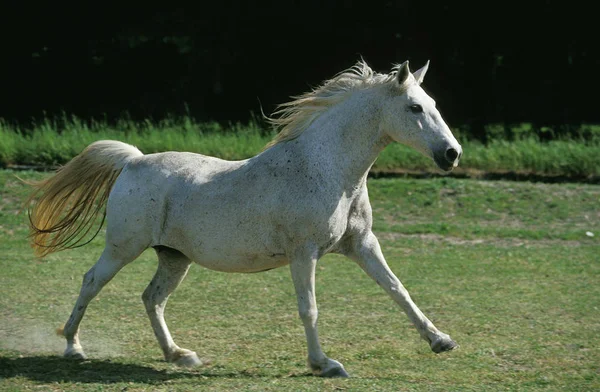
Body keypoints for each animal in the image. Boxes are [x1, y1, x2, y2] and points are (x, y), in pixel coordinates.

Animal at [25, 60, 462, 376]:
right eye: (414, 107)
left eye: (435, 105)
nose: (451, 154)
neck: (328, 170)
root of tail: (133, 161)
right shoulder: (304, 253)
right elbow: (309, 307)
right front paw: (324, 365)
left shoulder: (362, 244)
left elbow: (398, 290)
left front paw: (440, 341)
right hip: (123, 248)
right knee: (91, 282)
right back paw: (73, 347)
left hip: (173, 257)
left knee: (152, 298)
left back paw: (179, 355)